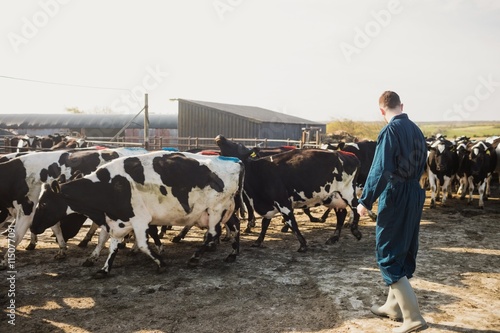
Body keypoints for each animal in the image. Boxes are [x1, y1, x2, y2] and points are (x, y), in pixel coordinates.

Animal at [29, 151, 244, 274]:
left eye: (44, 203)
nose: (33, 226)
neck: (109, 186)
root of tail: (235, 161)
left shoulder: (139, 220)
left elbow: (142, 244)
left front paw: (160, 262)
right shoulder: (117, 220)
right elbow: (111, 243)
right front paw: (104, 268)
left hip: (216, 209)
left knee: (212, 234)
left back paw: (195, 257)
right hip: (227, 210)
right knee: (235, 227)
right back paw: (232, 254)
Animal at [214, 133, 360, 252]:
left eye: (237, 145)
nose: (220, 137)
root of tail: (348, 155)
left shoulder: (283, 201)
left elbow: (291, 222)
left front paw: (302, 245)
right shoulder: (269, 204)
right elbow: (265, 224)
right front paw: (258, 241)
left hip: (347, 192)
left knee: (355, 208)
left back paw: (355, 230)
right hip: (332, 196)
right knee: (342, 213)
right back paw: (334, 237)